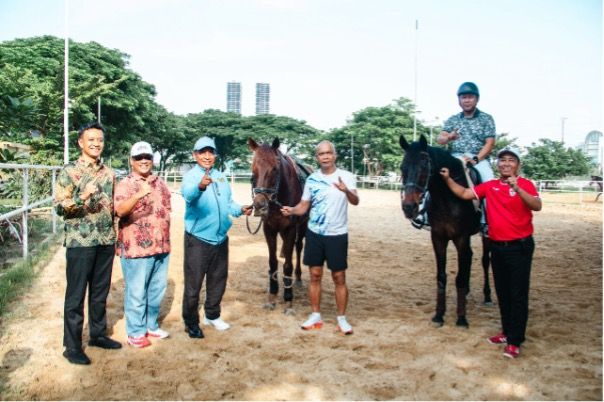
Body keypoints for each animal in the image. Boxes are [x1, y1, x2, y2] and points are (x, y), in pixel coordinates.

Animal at [248, 137, 310, 314]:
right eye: (253, 169)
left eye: (275, 169)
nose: (259, 206)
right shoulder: (269, 229)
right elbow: (273, 262)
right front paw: (272, 297)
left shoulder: (290, 229)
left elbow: (288, 265)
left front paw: (288, 300)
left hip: (302, 226)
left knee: (298, 247)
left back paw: (298, 278)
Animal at [402, 133, 490, 328]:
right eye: (402, 167)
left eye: (424, 166)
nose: (409, 207)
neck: (448, 197)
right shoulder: (438, 238)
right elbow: (442, 276)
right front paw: (438, 315)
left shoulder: (461, 238)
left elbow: (459, 278)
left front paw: (461, 318)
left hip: (485, 236)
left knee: (484, 261)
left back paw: (487, 296)